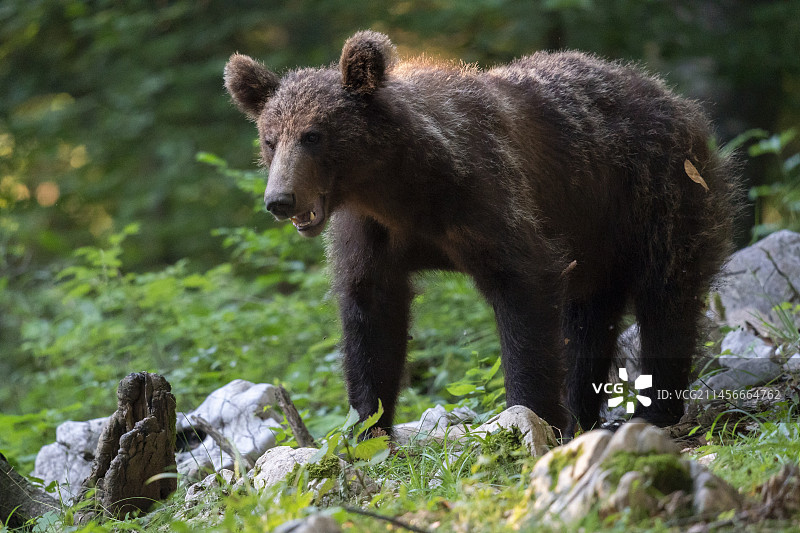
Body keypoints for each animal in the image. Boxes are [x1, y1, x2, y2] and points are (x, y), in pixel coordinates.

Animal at [224, 31, 739, 437]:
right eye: (270, 138)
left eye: (313, 134)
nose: (280, 200)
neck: (399, 188)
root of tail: (673, 98)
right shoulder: (371, 234)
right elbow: (371, 319)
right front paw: (368, 428)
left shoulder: (487, 196)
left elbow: (525, 293)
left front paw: (531, 413)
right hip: (596, 240)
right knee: (590, 319)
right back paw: (584, 416)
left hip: (657, 193)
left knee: (666, 293)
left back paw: (653, 411)